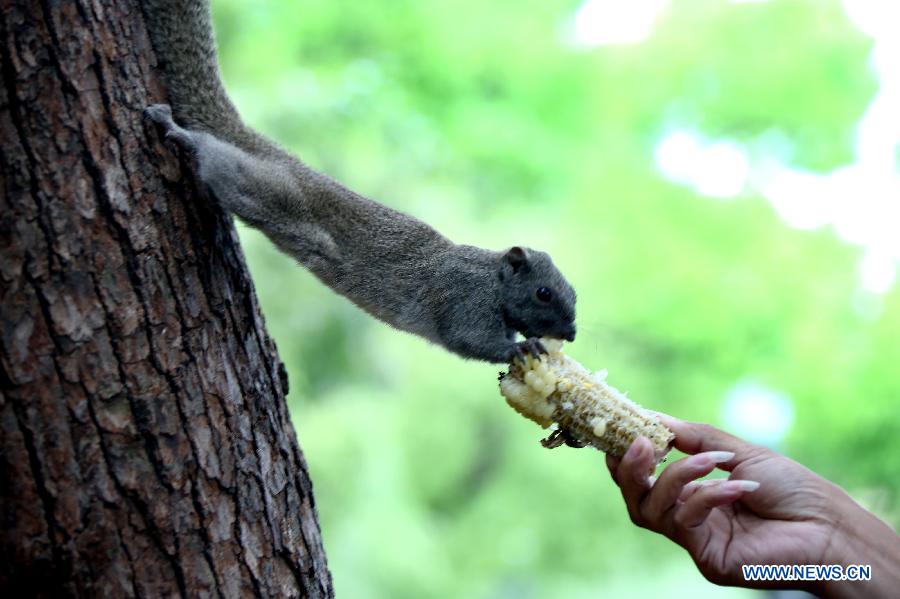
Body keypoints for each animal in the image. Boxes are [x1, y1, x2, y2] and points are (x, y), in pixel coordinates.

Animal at [141, 0, 576, 364]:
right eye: (543, 293)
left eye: (572, 293)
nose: (571, 333)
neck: (493, 280)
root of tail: (285, 161)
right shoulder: (463, 300)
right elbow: (469, 340)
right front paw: (521, 348)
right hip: (266, 190)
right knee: (221, 165)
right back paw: (176, 131)